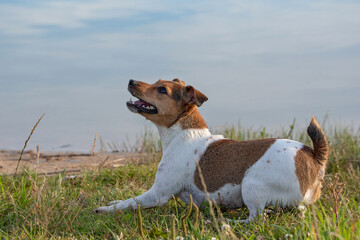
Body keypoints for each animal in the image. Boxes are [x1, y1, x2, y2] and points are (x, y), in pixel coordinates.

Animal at [93, 79, 330, 223]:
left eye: (162, 90)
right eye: (156, 82)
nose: (131, 81)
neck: (183, 133)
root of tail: (313, 156)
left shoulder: (158, 194)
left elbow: (130, 203)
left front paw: (105, 209)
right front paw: (112, 203)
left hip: (250, 183)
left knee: (255, 218)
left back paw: (225, 220)